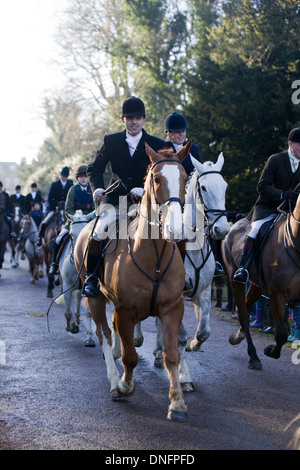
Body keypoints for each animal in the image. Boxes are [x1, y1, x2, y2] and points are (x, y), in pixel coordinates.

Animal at [73, 141, 191, 420]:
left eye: (185, 178)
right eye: (156, 179)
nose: (175, 230)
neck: (154, 255)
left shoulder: (172, 309)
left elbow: (171, 355)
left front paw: (177, 403)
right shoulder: (125, 311)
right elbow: (131, 358)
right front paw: (125, 386)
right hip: (95, 298)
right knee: (104, 335)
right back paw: (114, 381)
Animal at [223, 196, 300, 370]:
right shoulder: (277, 293)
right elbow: (281, 333)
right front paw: (270, 350)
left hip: (257, 284)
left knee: (247, 306)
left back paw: (238, 336)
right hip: (234, 279)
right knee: (243, 313)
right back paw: (253, 356)